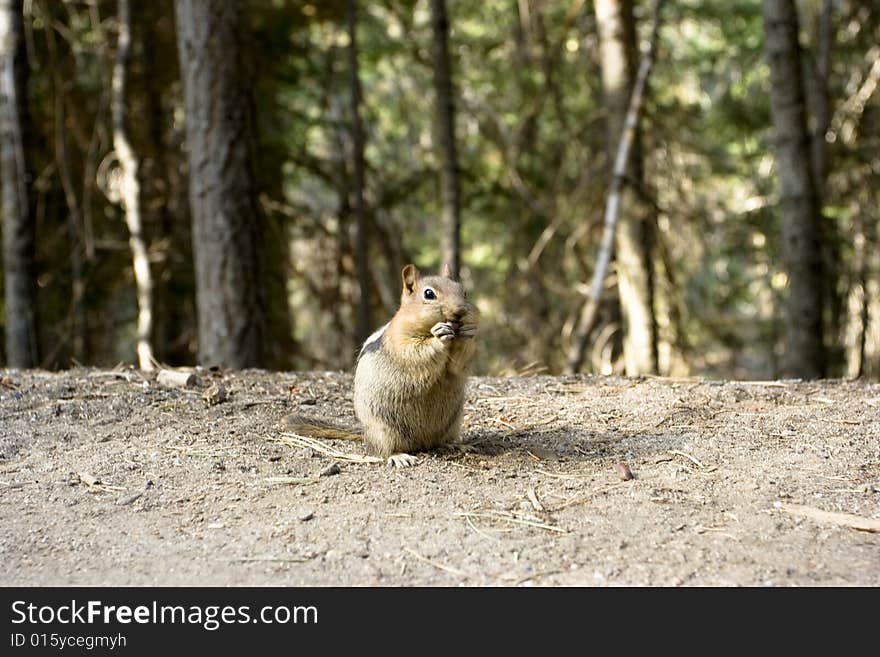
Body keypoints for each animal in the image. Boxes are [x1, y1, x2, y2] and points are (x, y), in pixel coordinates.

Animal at [288, 262, 482, 466]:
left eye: (464, 292)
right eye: (429, 294)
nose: (460, 311)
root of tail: (421, 443)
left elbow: (458, 363)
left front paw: (468, 333)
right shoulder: (399, 339)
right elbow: (415, 352)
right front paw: (438, 335)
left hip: (454, 423)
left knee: (440, 442)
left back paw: (456, 445)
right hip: (382, 430)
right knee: (381, 451)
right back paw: (399, 457)